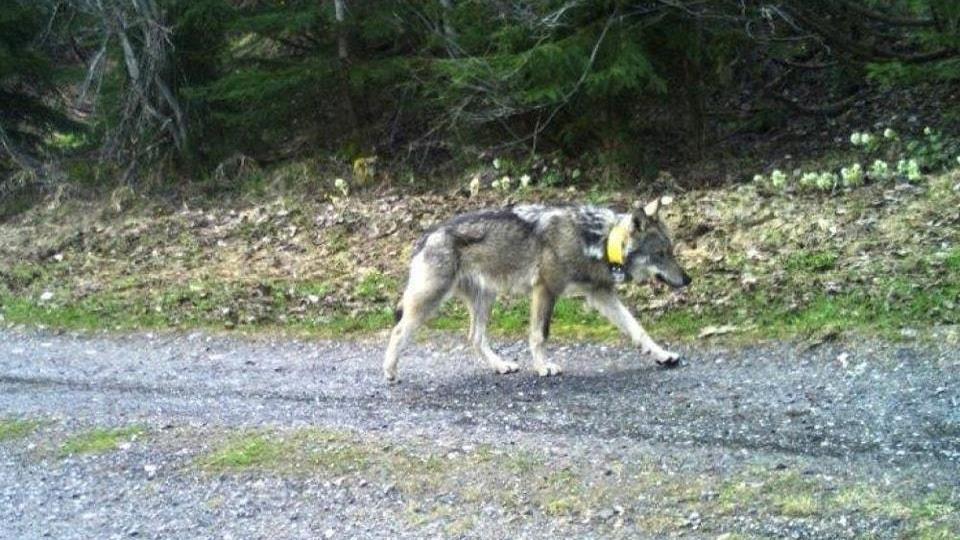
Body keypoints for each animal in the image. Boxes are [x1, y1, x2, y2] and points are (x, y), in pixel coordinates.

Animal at [382, 196, 688, 382]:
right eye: (661, 254)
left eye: (671, 251)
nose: (688, 280)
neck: (595, 240)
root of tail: (426, 235)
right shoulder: (545, 290)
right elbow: (540, 335)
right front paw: (543, 367)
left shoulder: (601, 294)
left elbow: (638, 329)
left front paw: (663, 355)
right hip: (430, 302)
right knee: (398, 331)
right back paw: (390, 371)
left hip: (486, 300)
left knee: (475, 338)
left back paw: (501, 366)